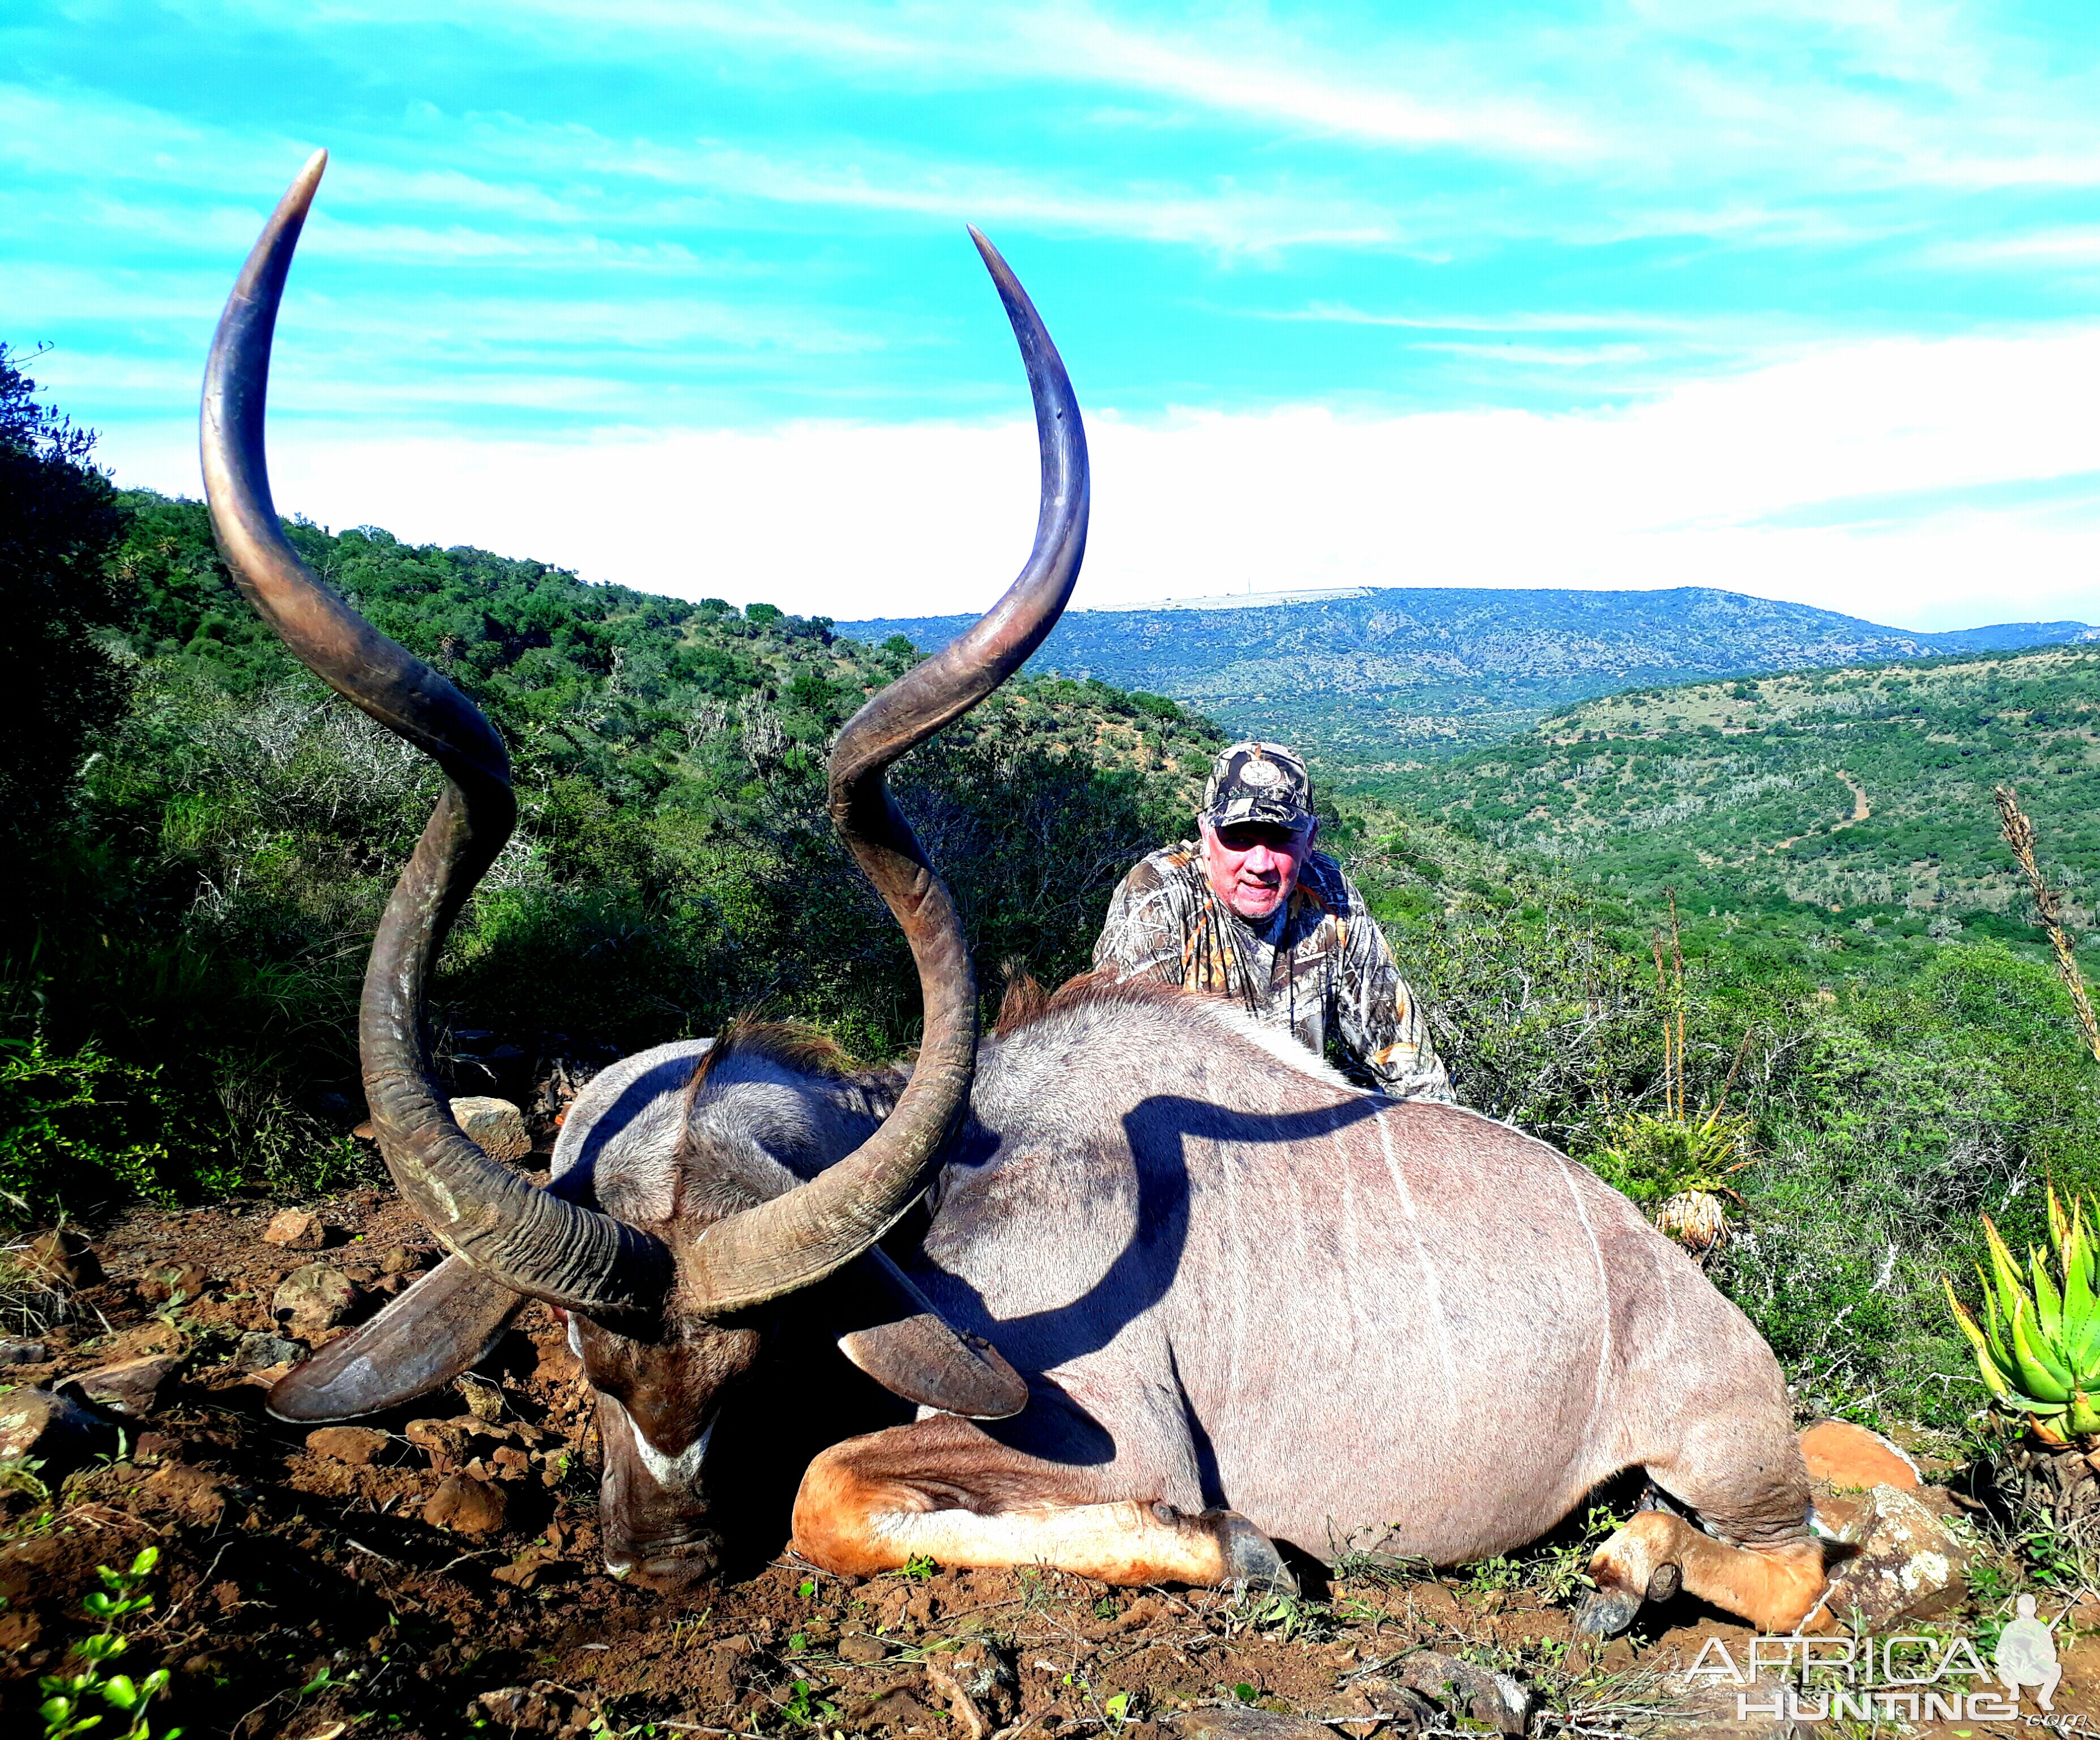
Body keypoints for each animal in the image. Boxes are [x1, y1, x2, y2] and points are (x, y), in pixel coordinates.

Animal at [217, 156, 1822, 1639]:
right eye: (574, 1352)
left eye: (756, 1358)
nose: (661, 1567)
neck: (947, 1191)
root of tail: (1679, 1284)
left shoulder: (1107, 1434)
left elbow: (836, 1489)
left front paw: (1251, 1548)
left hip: (1728, 1452)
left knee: (1791, 1560)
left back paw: (1624, 1574)